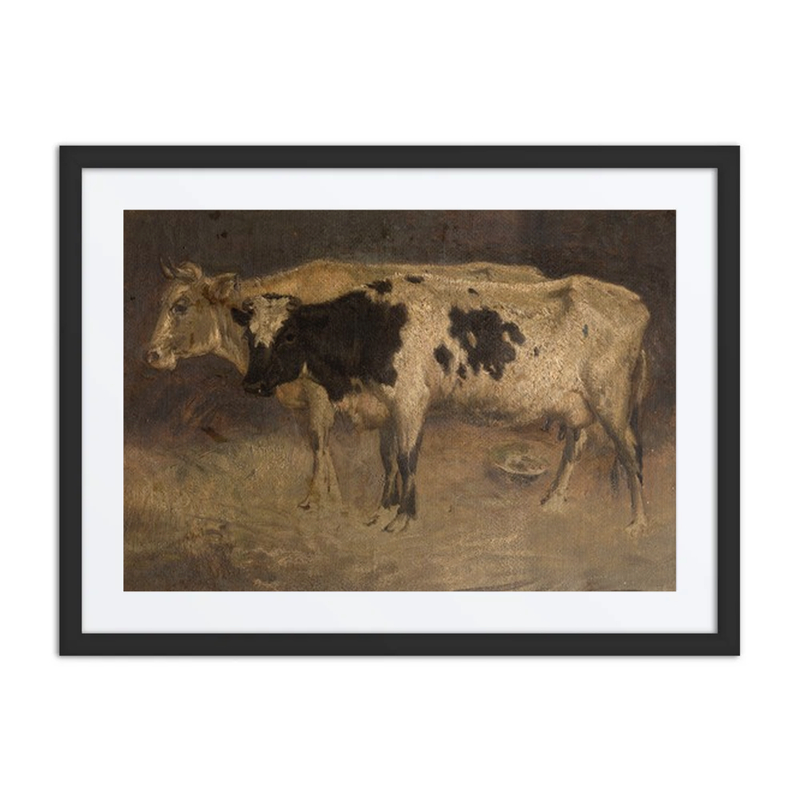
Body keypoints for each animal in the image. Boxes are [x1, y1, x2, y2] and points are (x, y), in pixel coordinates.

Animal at [145, 258, 548, 510]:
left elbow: (321, 441)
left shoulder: (321, 394)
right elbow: (318, 444)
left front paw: (322, 499)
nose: (151, 354)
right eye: (164, 302)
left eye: (181, 306)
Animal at [237, 274, 651, 534]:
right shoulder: (387, 406)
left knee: (630, 453)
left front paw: (403, 518)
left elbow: (407, 460)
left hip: (611, 399)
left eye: (289, 334)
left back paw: (638, 523)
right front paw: (383, 509)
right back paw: (554, 499)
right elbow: (389, 460)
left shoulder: (410, 402)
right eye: (248, 335)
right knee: (575, 447)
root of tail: (633, 300)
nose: (252, 384)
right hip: (578, 403)